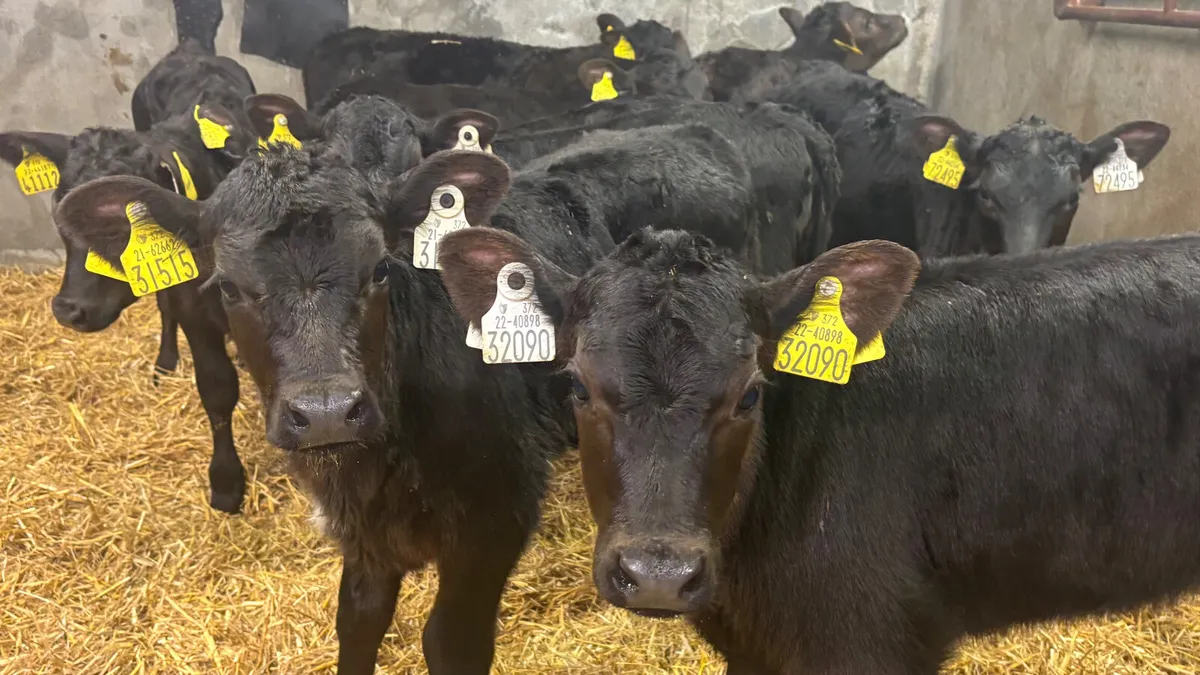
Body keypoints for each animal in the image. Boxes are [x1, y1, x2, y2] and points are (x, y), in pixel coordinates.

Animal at [0, 40, 257, 514]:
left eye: (123, 224)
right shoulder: (195, 308)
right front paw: (227, 481)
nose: (68, 309)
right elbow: (216, 387)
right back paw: (166, 361)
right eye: (61, 210)